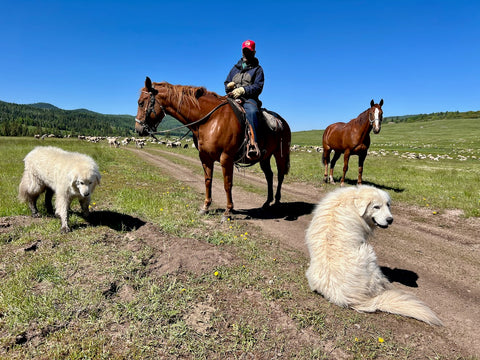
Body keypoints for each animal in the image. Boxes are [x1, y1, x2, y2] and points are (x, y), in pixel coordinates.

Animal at [135, 77, 292, 221]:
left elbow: (227, 184)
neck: (210, 119)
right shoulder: (205, 157)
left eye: (141, 103)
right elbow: (207, 181)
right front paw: (205, 207)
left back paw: (277, 201)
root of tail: (282, 121)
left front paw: (228, 211)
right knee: (269, 175)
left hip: (280, 154)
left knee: (280, 175)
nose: (138, 129)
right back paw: (266, 203)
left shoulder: (226, 157)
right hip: (265, 157)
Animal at [306, 186, 440, 326]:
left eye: (388, 205)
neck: (352, 201)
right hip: (369, 253)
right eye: (376, 207)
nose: (390, 220)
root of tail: (354, 300)